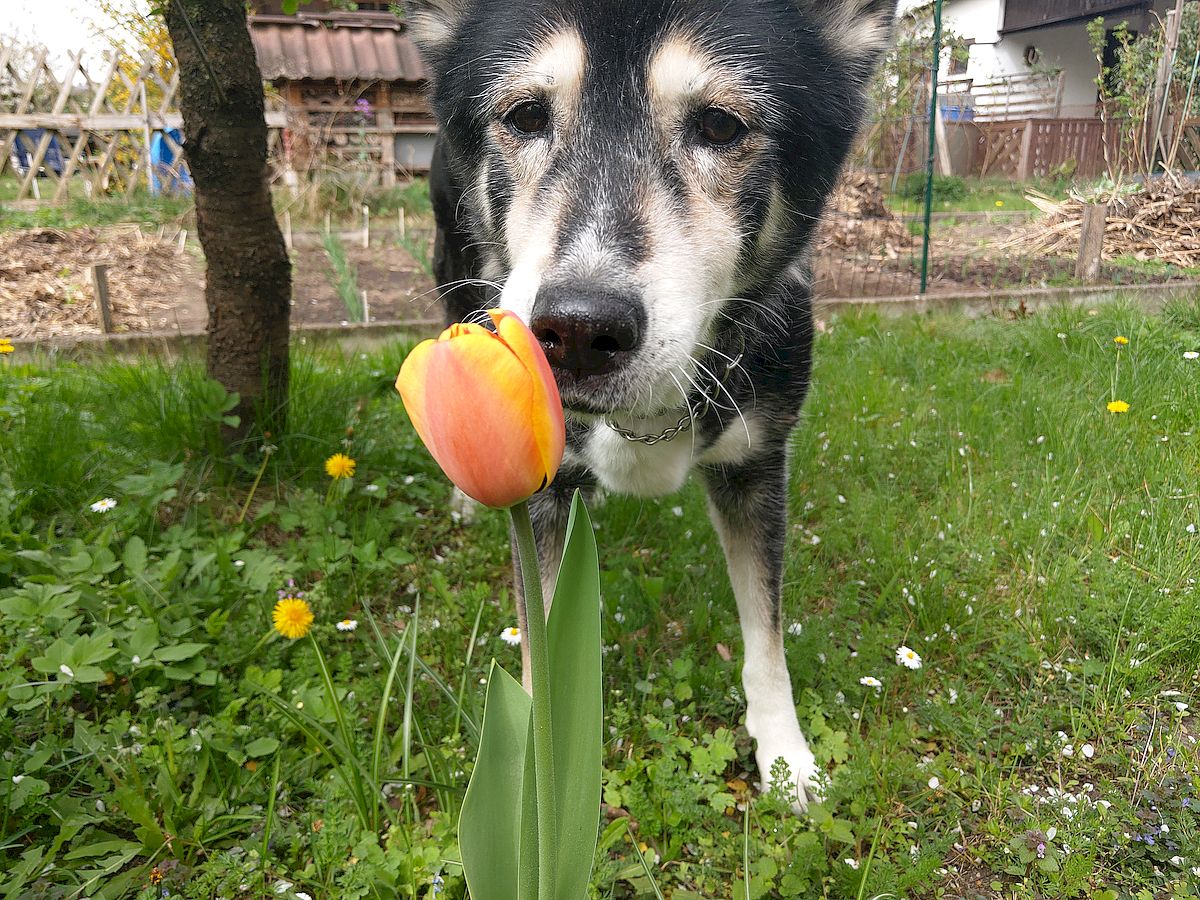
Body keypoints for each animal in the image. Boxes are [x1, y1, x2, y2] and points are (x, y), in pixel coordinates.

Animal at [408, 0, 897, 806]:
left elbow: (766, 632)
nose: (577, 330)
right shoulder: (538, 498)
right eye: (525, 115)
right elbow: (542, 645)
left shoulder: (757, 464)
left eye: (721, 125)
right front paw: (540, 781)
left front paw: (787, 759)